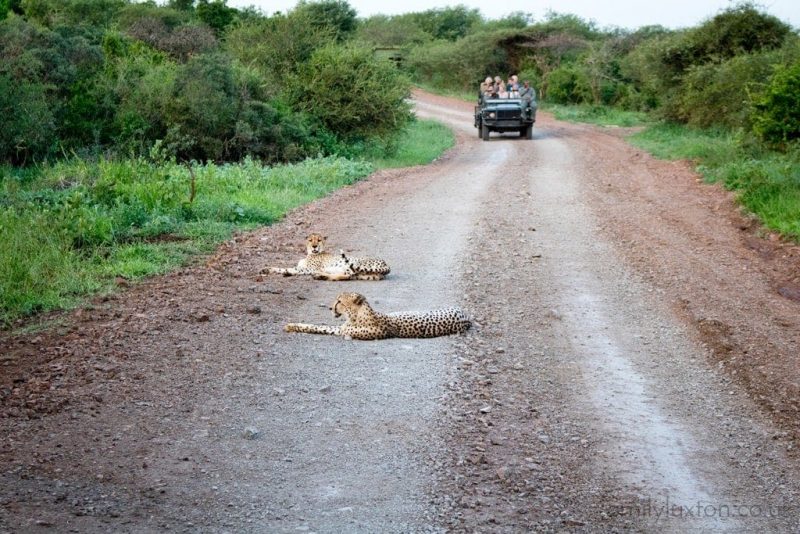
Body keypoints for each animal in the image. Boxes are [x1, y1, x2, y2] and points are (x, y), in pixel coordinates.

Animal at [286, 292, 468, 342]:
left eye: (339, 301)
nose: (331, 307)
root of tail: (466, 317)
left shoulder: (380, 332)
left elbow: (353, 331)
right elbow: (318, 327)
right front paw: (291, 325)